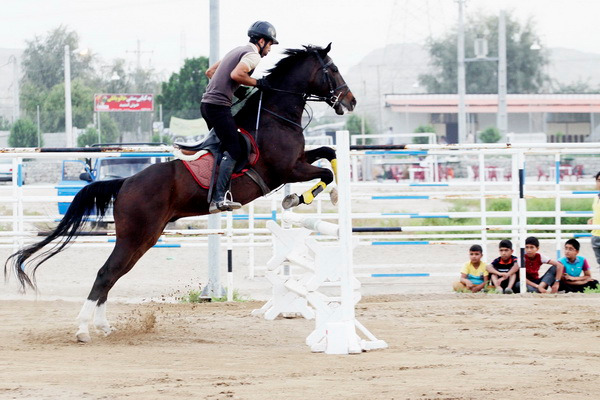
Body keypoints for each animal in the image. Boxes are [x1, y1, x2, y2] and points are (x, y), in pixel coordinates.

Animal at [4, 43, 356, 343]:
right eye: (334, 69)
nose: (350, 101)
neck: (274, 116)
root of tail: (126, 183)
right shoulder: (286, 169)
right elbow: (324, 171)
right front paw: (300, 198)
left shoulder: (299, 160)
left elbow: (328, 153)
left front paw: (326, 193)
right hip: (136, 235)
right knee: (106, 272)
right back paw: (82, 330)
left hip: (143, 239)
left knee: (114, 274)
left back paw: (103, 326)